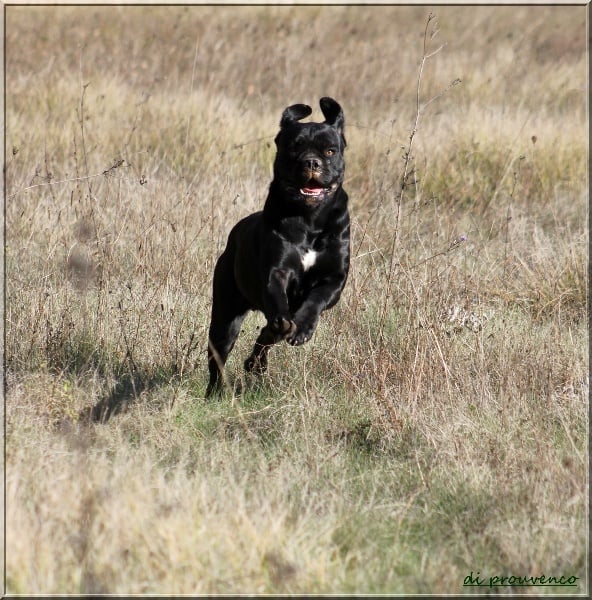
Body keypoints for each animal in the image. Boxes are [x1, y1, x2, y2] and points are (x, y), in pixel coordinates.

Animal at [206, 97, 350, 397]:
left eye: (330, 150)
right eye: (294, 146)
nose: (311, 162)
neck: (309, 219)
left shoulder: (334, 279)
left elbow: (316, 300)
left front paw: (302, 329)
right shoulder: (277, 271)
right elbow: (277, 299)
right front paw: (286, 323)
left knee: (267, 334)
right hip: (225, 314)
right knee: (219, 356)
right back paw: (216, 391)